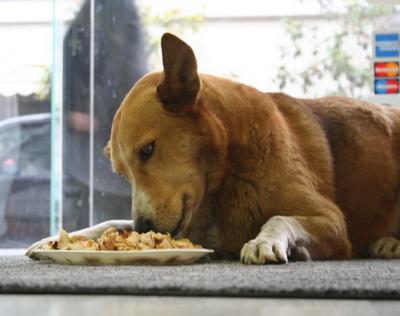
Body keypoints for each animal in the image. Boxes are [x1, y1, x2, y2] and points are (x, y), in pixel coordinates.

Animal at [28, 32, 400, 264]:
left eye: (147, 150)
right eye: (122, 174)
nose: (144, 226)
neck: (225, 178)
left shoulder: (333, 223)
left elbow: (279, 217)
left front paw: (265, 241)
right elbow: (111, 222)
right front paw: (54, 240)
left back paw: (389, 243)